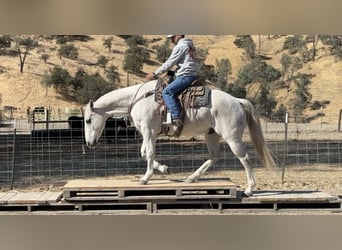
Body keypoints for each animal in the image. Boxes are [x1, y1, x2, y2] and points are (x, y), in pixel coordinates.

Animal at [84, 79, 276, 196]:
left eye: (87, 120)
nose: (90, 143)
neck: (137, 99)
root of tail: (237, 101)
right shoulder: (147, 133)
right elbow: (144, 153)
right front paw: (164, 169)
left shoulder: (148, 130)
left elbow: (149, 153)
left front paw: (145, 178)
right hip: (211, 134)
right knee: (214, 156)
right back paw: (192, 178)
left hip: (232, 137)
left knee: (245, 158)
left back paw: (249, 189)